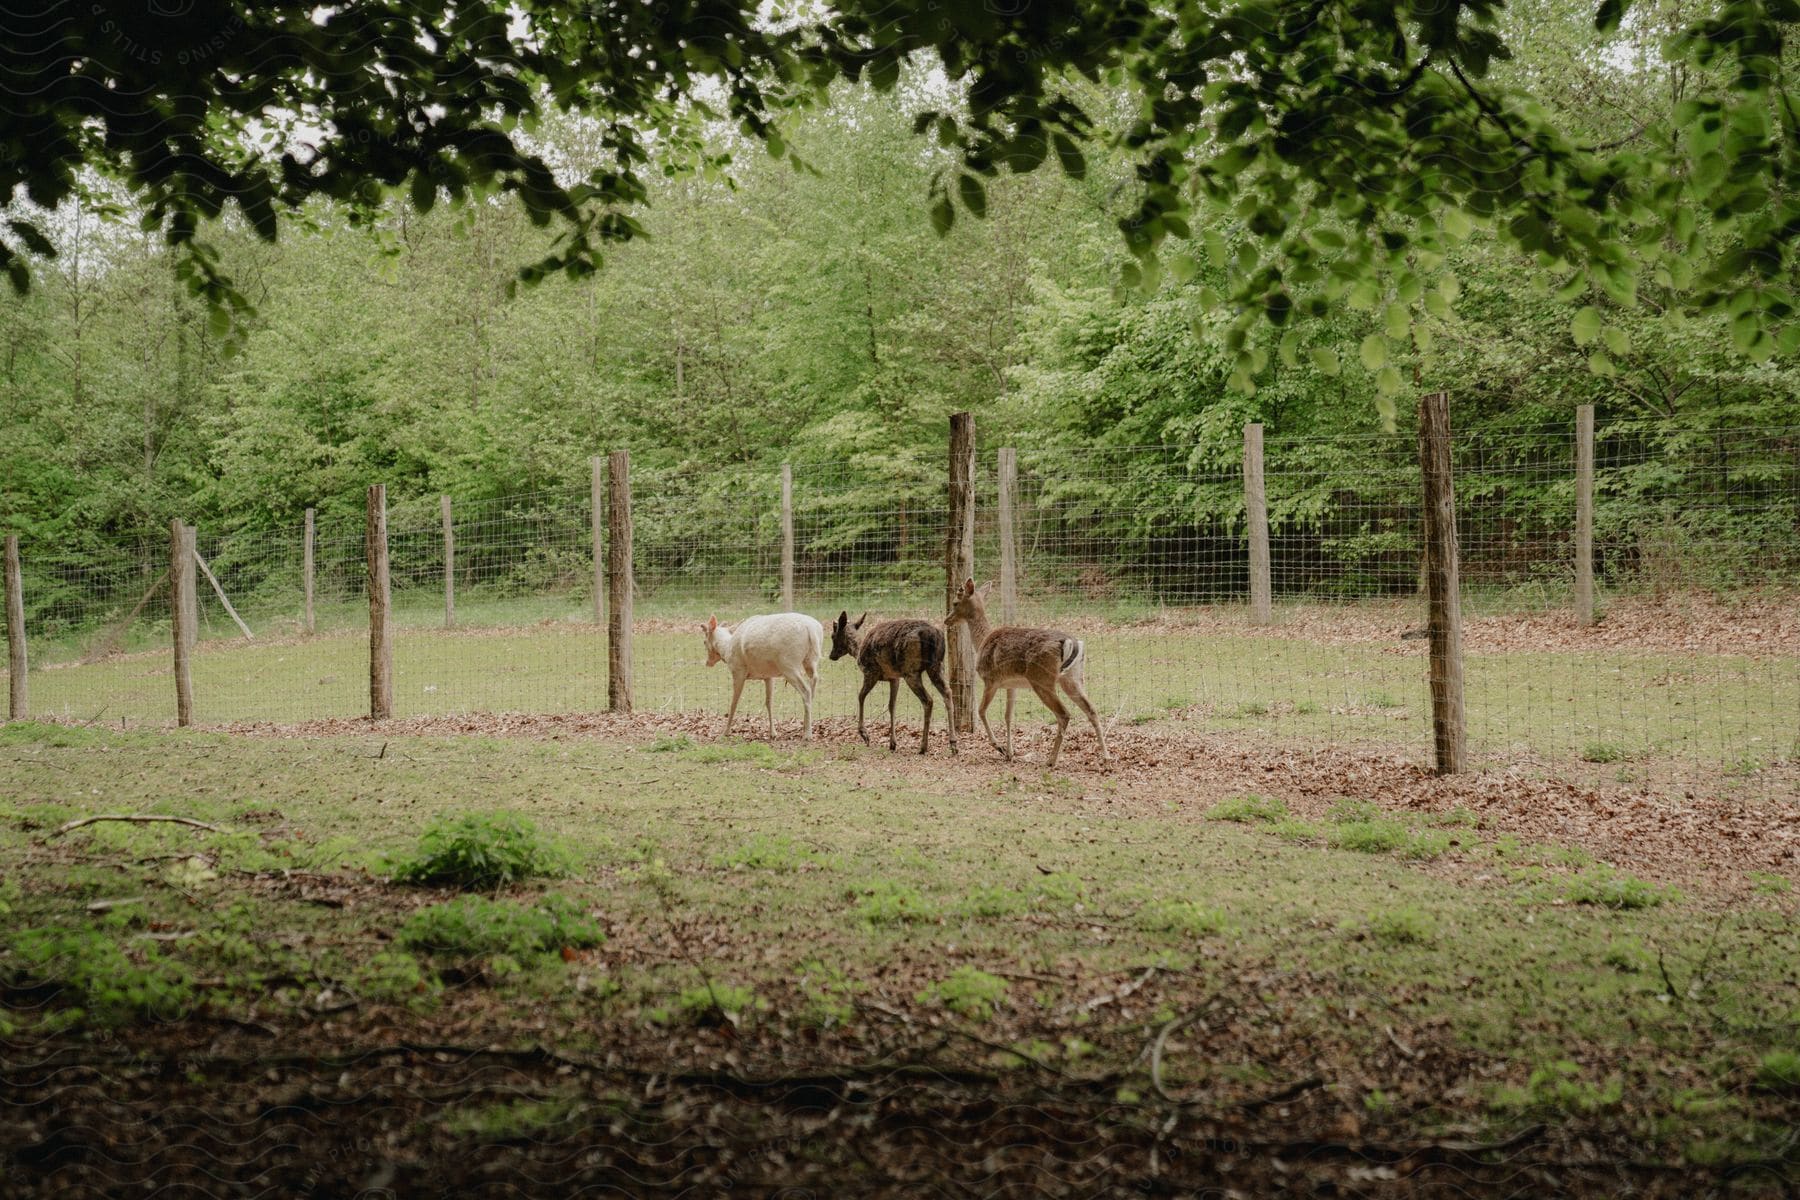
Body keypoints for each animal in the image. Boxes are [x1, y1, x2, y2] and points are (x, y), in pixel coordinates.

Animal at [831, 615, 957, 755]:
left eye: (832, 636)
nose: (831, 655)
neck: (857, 652)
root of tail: (932, 635)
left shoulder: (871, 672)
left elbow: (860, 696)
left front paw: (865, 735)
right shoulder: (894, 678)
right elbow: (892, 705)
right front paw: (892, 743)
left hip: (910, 670)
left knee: (928, 700)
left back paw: (923, 747)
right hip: (937, 665)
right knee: (948, 693)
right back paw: (953, 744)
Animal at [943, 582, 1108, 770]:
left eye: (955, 602)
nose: (946, 620)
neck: (981, 641)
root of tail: (1072, 642)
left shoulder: (990, 679)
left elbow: (981, 710)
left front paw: (998, 747)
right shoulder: (1011, 684)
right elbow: (1008, 716)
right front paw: (1009, 753)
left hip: (1042, 679)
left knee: (1064, 713)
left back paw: (1051, 760)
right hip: (1073, 678)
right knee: (1091, 709)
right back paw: (1106, 756)